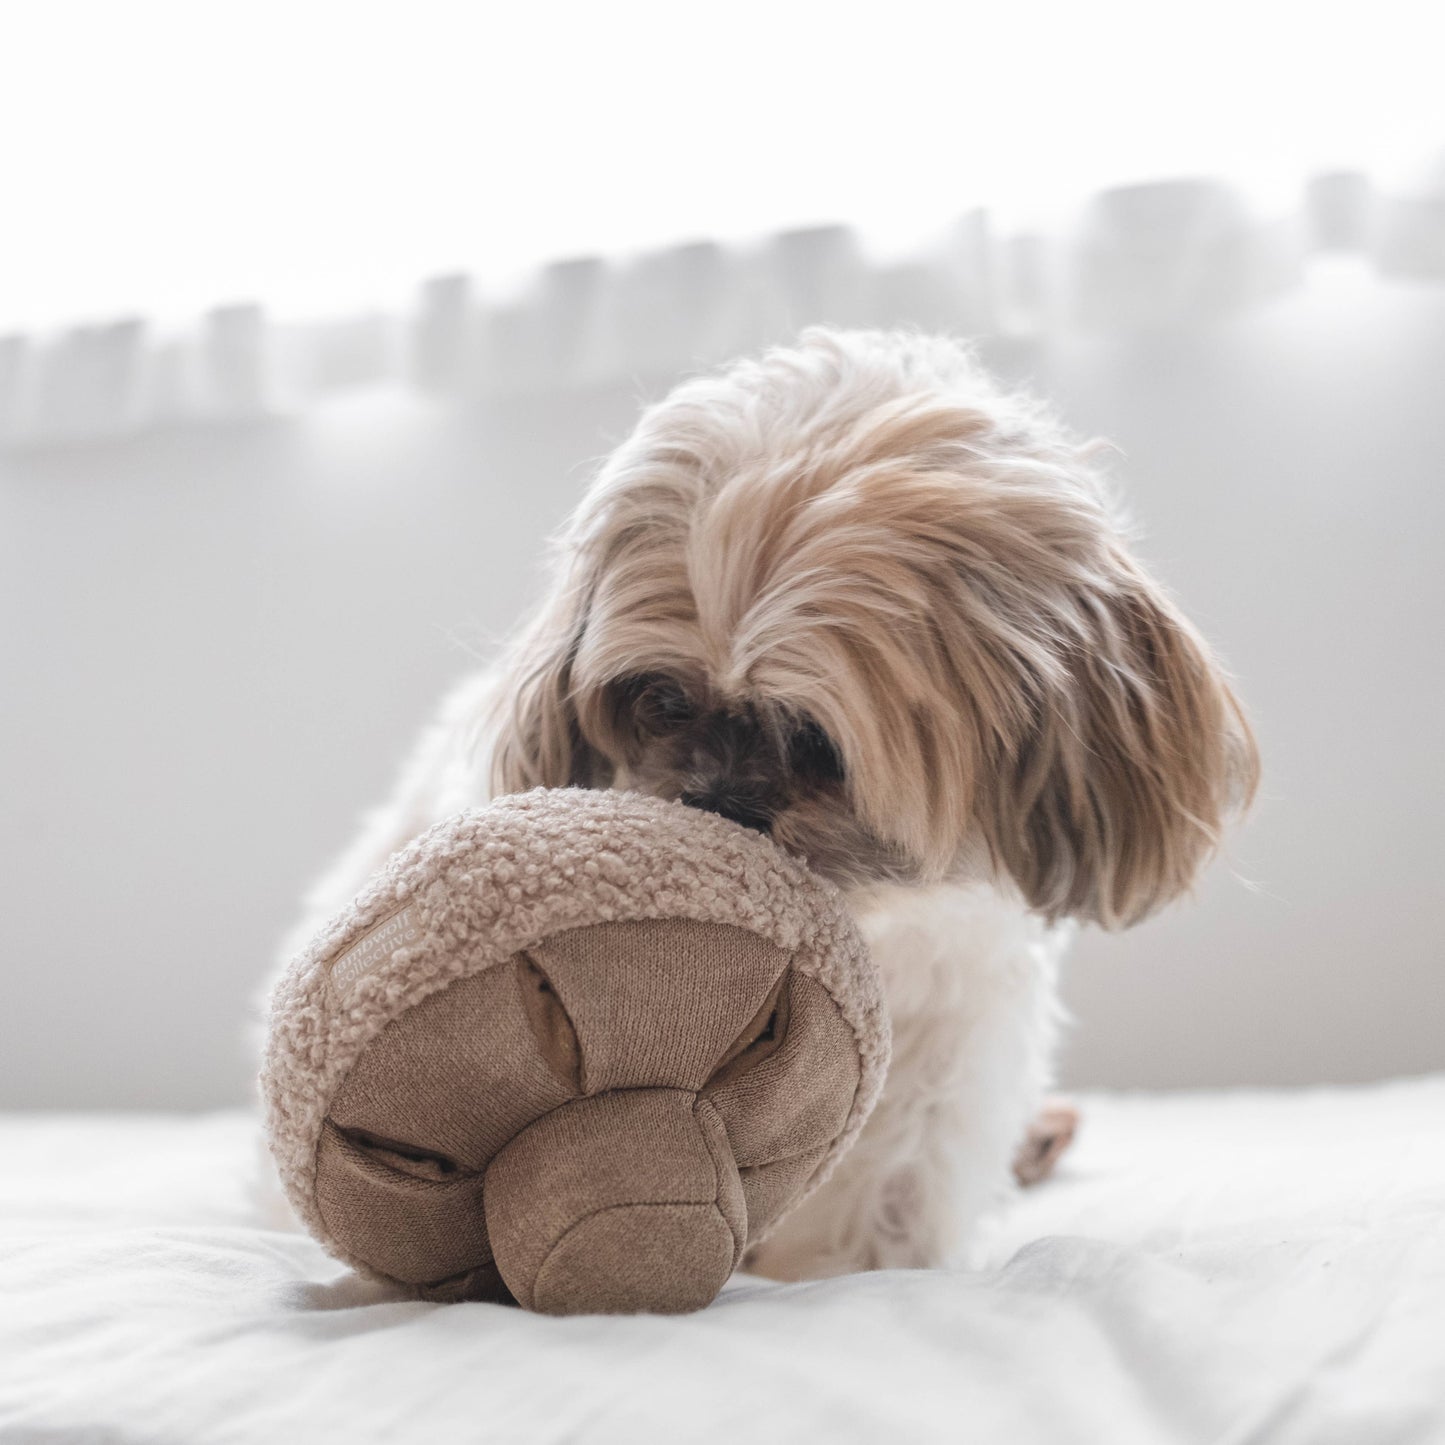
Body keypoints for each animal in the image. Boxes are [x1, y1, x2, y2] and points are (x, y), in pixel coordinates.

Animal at [281, 332, 1254, 1283]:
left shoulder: (957, 1026)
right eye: (661, 701)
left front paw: (856, 1262)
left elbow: (895, 1177)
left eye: (817, 745)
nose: (718, 800)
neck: (877, 921)